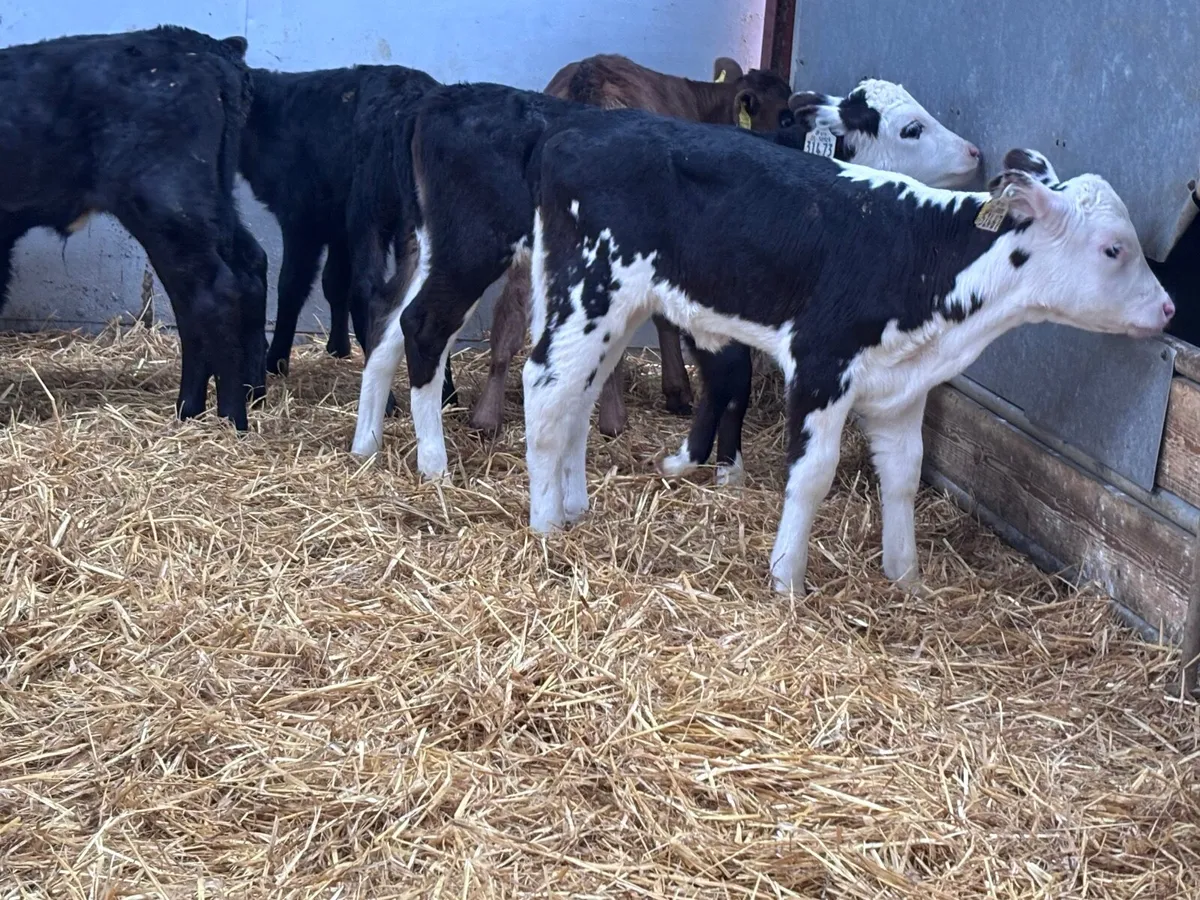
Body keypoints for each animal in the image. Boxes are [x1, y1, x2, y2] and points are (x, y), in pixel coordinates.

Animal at [0, 26, 267, 429]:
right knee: (240, 272)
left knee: (212, 293)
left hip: (167, 204)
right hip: (210, 205)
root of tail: (210, 48)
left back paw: (229, 419)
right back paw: (222, 402)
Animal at [469, 53, 797, 437]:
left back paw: (487, 416)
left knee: (510, 312)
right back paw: (613, 418)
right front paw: (678, 391)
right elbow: (666, 319)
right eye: (785, 115)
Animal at [518, 114, 1174, 595]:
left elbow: (905, 475)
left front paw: (905, 579)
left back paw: (575, 507)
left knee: (580, 395)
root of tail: (575, 132)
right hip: (590, 291)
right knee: (545, 382)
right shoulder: (822, 366)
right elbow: (812, 476)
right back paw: (546, 525)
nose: (1168, 309)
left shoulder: (903, 386)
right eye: (1114, 249)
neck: (923, 257)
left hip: (615, 309)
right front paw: (786, 580)